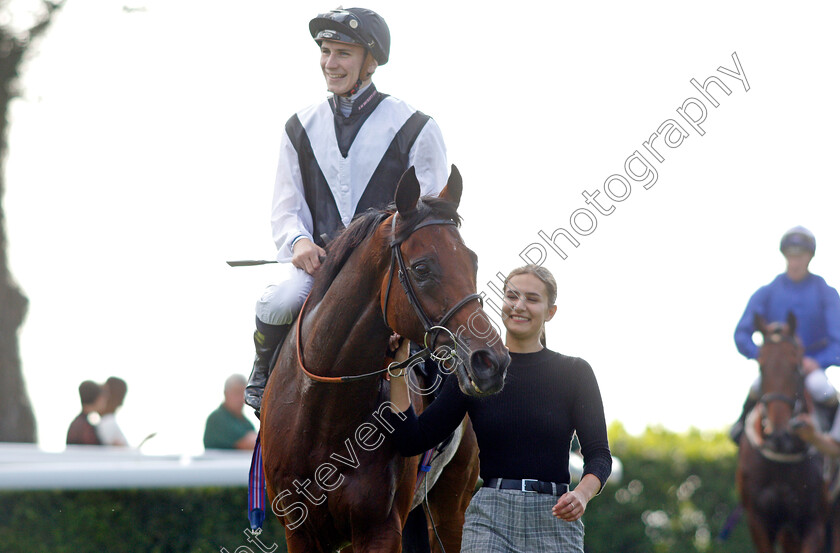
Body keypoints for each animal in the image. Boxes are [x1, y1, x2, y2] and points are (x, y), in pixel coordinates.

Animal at [262, 166, 508, 548]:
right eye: (421, 269)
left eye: (473, 261)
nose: (491, 362)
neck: (323, 412)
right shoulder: (299, 530)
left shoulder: (380, 528)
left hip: (451, 508)